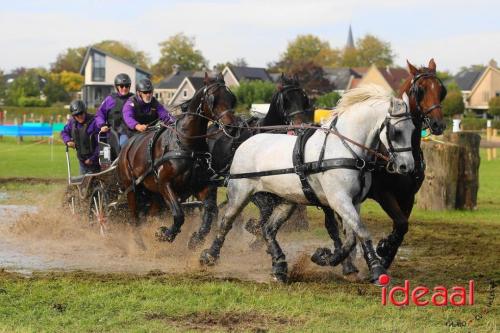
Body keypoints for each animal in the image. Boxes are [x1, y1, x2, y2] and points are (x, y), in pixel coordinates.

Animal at [117, 73, 236, 241]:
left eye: (231, 98)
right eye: (213, 98)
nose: (232, 127)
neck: (186, 144)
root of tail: (126, 148)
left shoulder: (198, 186)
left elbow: (210, 210)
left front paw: (196, 239)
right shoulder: (165, 184)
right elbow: (179, 214)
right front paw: (165, 233)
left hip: (154, 193)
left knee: (150, 216)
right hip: (131, 189)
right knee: (134, 219)